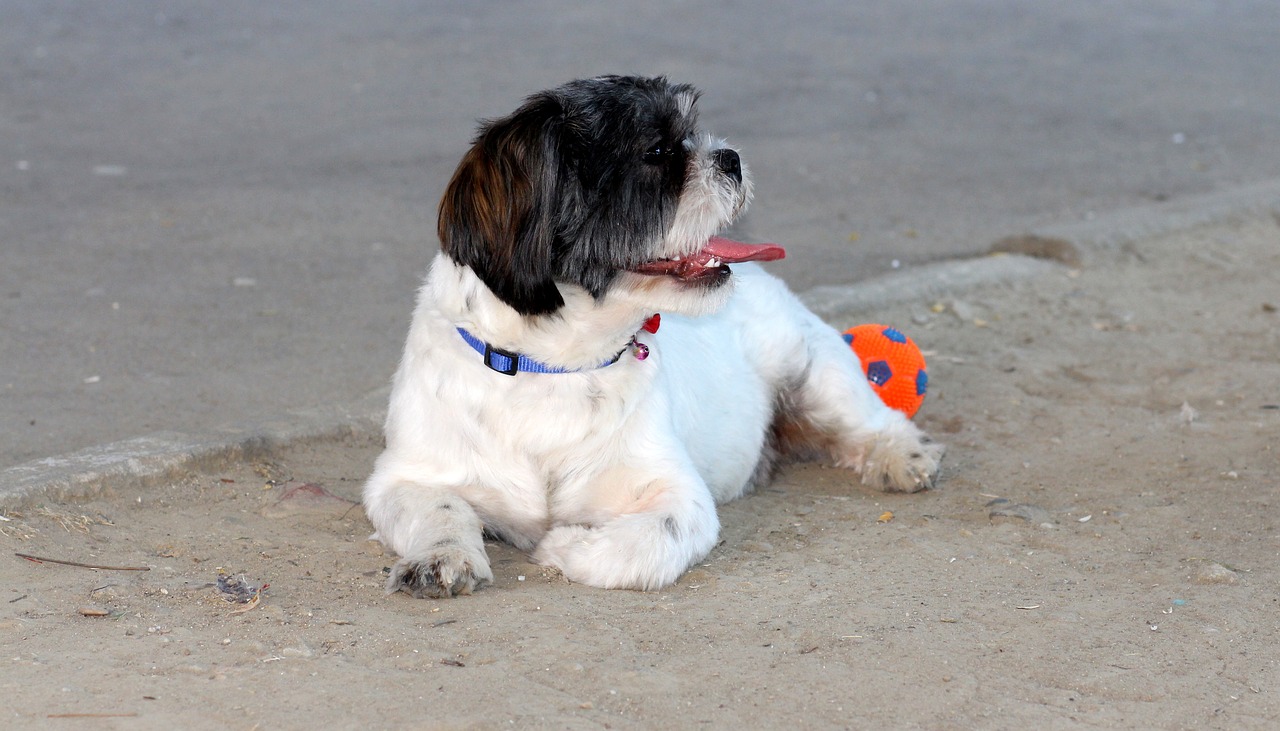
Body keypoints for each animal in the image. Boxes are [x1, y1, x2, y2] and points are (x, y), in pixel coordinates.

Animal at [360, 75, 942, 601]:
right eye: (658, 151)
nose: (729, 157)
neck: (551, 366)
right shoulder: (405, 478)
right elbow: (440, 510)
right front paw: (441, 558)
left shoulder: (677, 495)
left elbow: (640, 545)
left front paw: (565, 546)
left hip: (814, 372)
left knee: (873, 420)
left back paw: (902, 455)